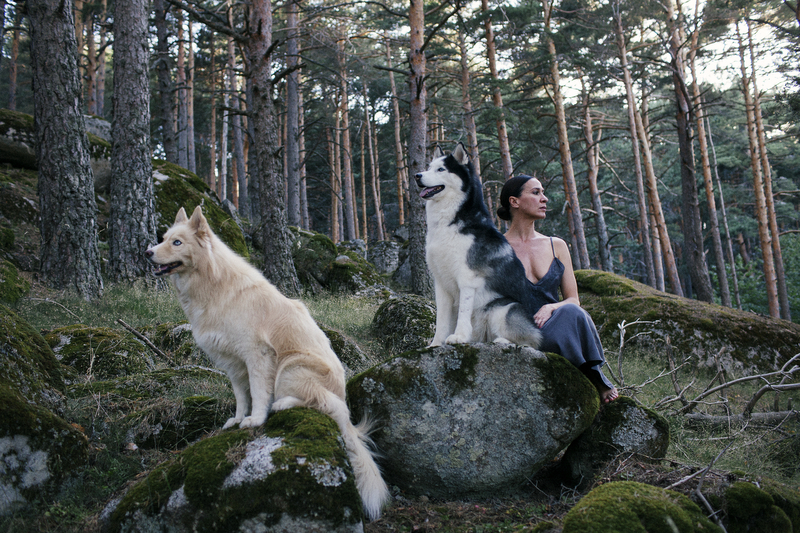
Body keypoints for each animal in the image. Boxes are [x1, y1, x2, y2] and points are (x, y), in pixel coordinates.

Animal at [148, 205, 394, 520]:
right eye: (163, 239)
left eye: (177, 242)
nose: (147, 252)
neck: (212, 283)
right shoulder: (233, 364)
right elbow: (242, 395)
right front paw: (238, 418)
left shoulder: (258, 355)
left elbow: (258, 392)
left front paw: (255, 419)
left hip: (290, 368)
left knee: (328, 405)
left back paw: (284, 403)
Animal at [416, 143, 548, 348]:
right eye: (429, 167)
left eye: (441, 169)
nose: (417, 175)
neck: (450, 221)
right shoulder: (441, 283)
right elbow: (441, 321)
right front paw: (435, 344)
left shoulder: (467, 278)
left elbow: (462, 312)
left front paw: (459, 337)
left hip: (504, 308)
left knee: (533, 341)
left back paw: (504, 341)